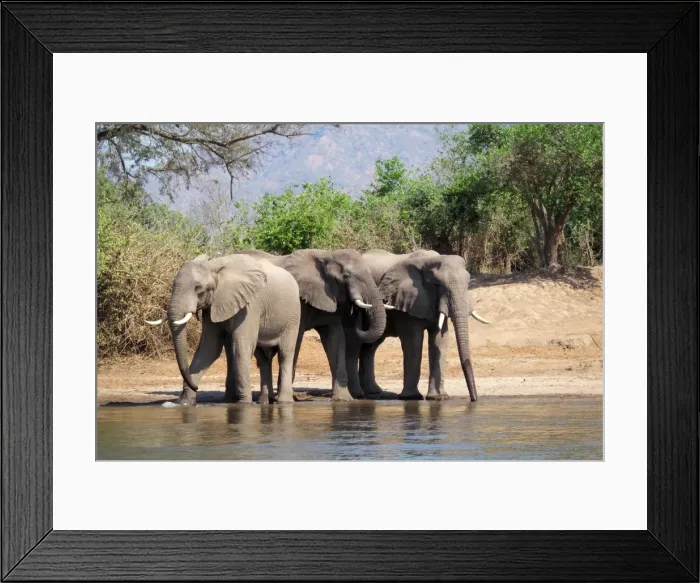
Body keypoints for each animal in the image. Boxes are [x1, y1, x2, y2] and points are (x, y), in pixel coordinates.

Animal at [145, 253, 301, 406]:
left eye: (198, 288)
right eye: (173, 285)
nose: (196, 387)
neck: (214, 266)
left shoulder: (250, 305)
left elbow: (241, 347)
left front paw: (244, 404)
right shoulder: (213, 305)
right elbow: (209, 348)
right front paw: (184, 403)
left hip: (293, 317)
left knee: (285, 354)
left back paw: (283, 401)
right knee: (262, 359)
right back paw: (263, 401)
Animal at [234, 249, 387, 401]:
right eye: (346, 276)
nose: (356, 313)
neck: (327, 256)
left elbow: (336, 339)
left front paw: (343, 399)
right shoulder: (299, 301)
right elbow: (297, 340)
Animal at [346, 249, 489, 402]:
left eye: (468, 283)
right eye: (438, 285)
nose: (474, 400)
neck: (429, 261)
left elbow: (440, 340)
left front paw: (439, 397)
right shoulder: (407, 300)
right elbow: (413, 341)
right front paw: (412, 397)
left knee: (370, 347)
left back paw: (372, 393)